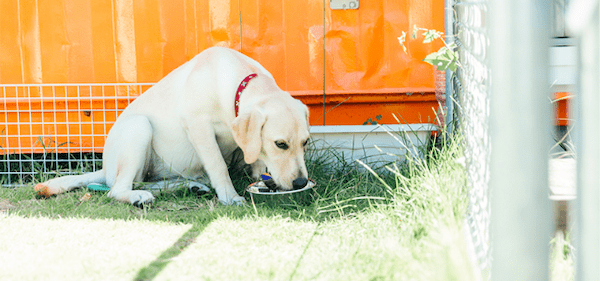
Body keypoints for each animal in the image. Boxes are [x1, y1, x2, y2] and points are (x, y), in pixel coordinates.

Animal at [34, 47, 310, 206]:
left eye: (305, 142)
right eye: (280, 144)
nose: (300, 183)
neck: (238, 82)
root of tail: (105, 168)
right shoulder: (198, 125)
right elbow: (218, 165)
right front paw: (230, 196)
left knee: (147, 182)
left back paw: (191, 186)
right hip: (139, 127)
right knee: (118, 188)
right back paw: (137, 197)